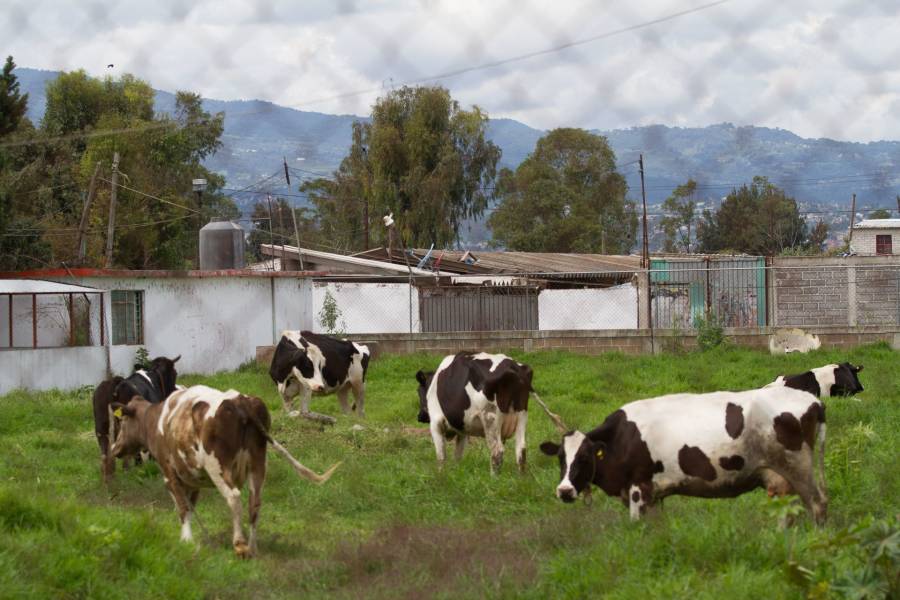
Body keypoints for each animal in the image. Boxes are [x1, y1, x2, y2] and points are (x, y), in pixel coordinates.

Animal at [110, 384, 342, 556]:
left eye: (122, 421)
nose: (114, 448)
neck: (157, 420)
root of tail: (241, 401)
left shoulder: (169, 474)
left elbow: (182, 508)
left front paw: (186, 540)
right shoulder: (192, 480)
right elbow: (190, 507)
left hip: (217, 465)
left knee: (234, 497)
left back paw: (239, 544)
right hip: (258, 462)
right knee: (254, 502)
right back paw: (253, 548)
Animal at [536, 386, 828, 524]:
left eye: (585, 458)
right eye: (561, 458)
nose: (564, 490)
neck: (622, 437)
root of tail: (814, 400)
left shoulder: (638, 487)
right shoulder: (654, 495)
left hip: (799, 468)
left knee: (818, 504)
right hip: (780, 477)